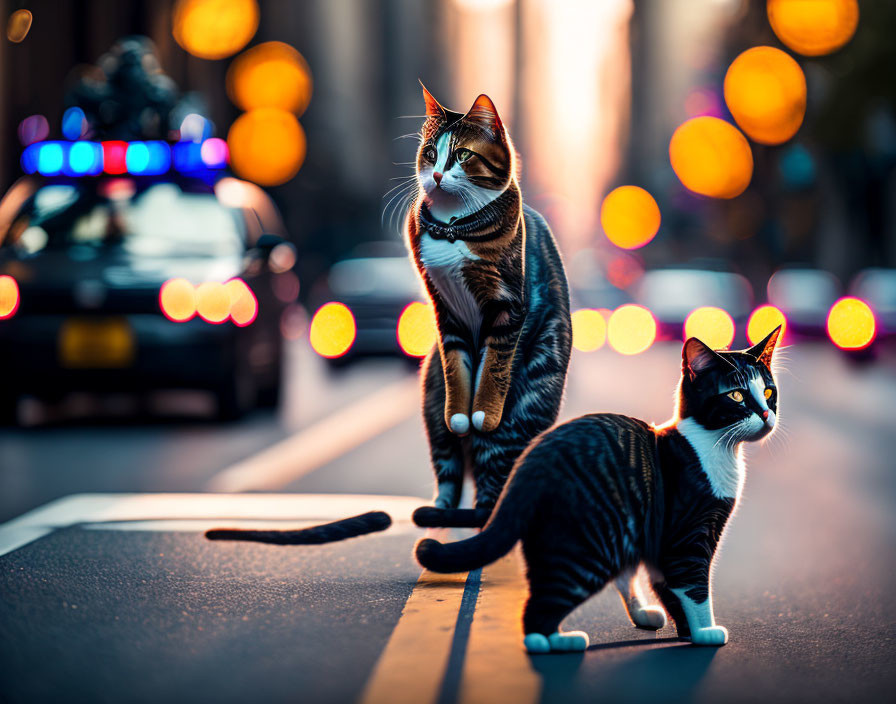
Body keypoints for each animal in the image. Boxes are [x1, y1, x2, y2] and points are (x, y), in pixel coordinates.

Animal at [404, 85, 568, 528]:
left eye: (462, 155)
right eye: (431, 153)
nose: (437, 175)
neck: (452, 228)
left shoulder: (509, 307)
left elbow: (493, 365)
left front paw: (481, 413)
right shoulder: (444, 311)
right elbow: (456, 366)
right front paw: (461, 413)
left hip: (522, 407)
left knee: (489, 492)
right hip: (429, 399)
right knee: (449, 466)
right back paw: (437, 509)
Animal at [416, 330, 780, 656]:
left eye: (769, 391)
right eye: (736, 396)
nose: (766, 414)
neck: (715, 447)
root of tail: (527, 465)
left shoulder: (660, 543)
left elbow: (669, 587)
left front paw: (688, 631)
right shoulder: (686, 536)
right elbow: (693, 586)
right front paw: (706, 631)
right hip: (587, 547)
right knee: (540, 605)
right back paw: (556, 642)